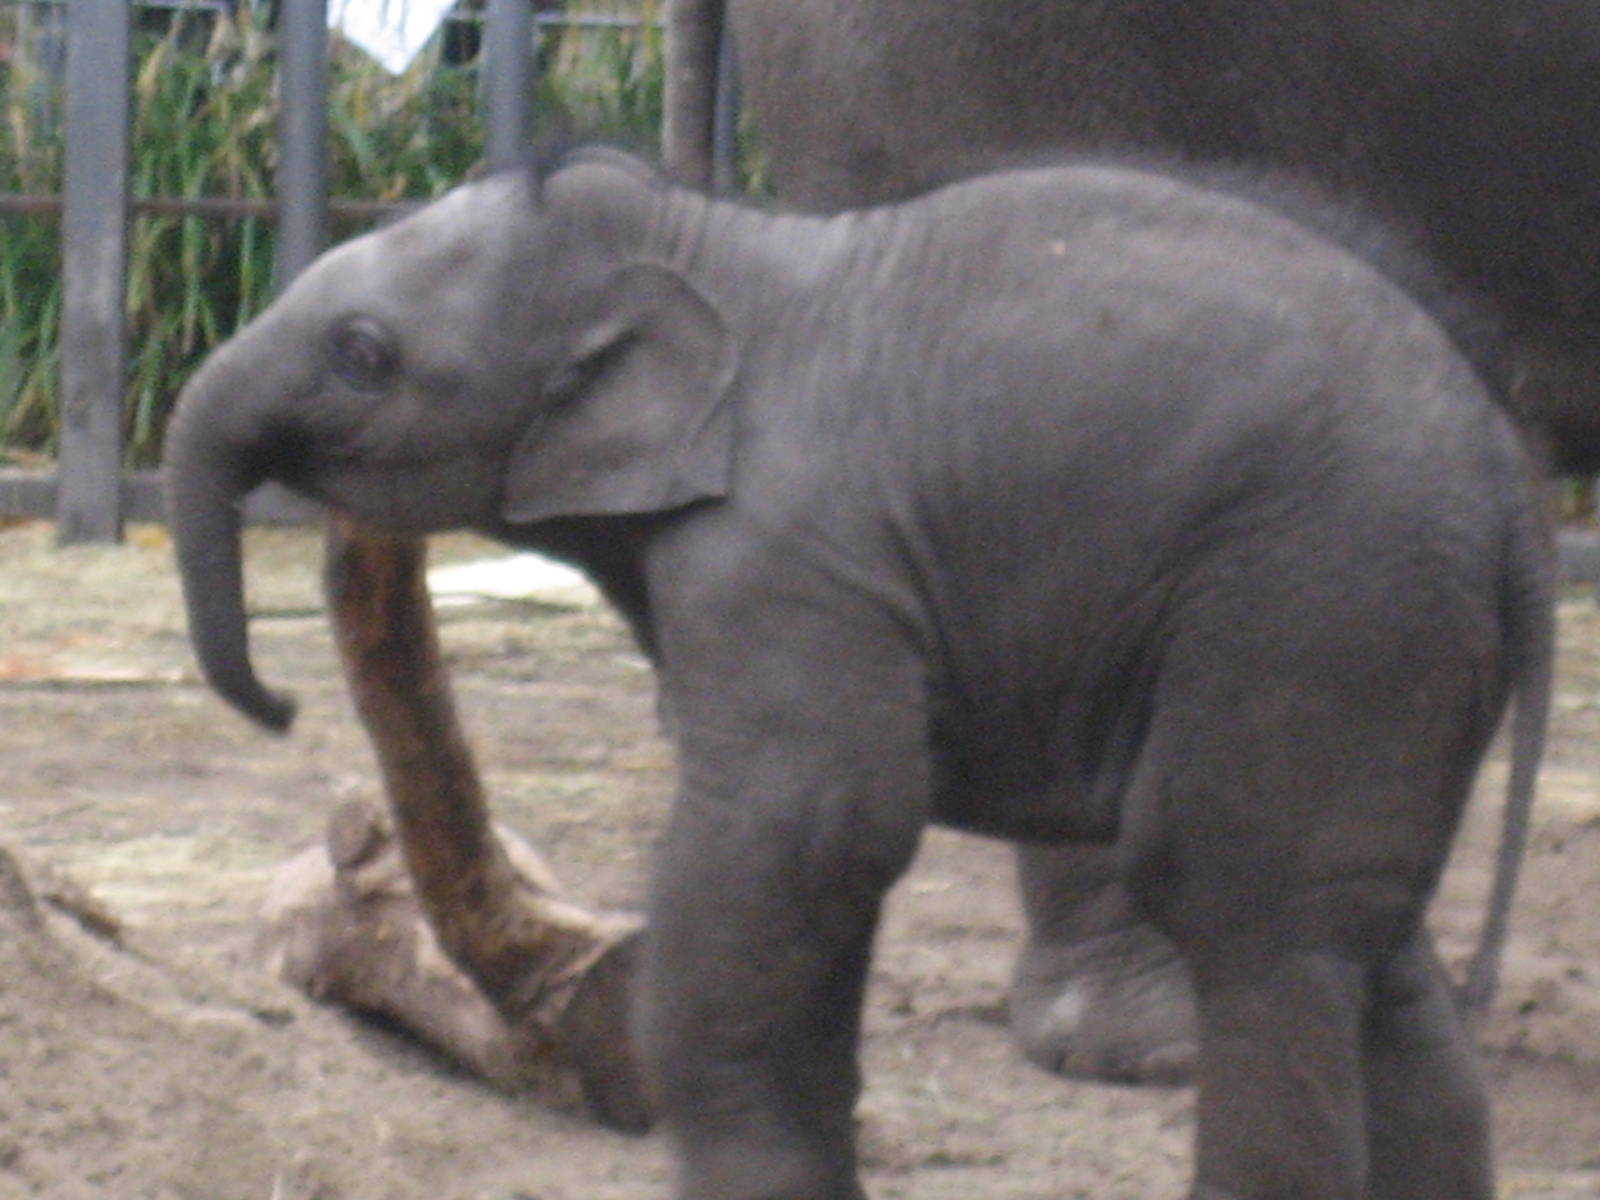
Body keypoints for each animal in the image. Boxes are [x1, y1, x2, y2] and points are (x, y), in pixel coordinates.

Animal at [164, 148, 1553, 1200]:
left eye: (362, 354)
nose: (279, 707)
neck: (707, 242)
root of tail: (1509, 480)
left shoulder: (787, 554)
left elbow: (806, 831)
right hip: (1391, 637)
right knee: (1373, 947)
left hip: (1316, 597)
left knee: (1247, 918)